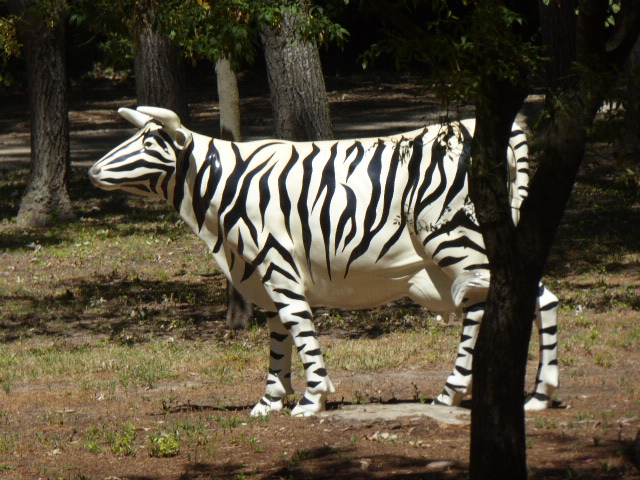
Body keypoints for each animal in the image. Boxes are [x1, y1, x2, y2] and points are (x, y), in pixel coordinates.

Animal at [89, 106, 560, 417]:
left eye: (148, 143)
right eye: (134, 138)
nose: (91, 172)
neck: (226, 185)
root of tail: (484, 128)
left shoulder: (276, 261)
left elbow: (299, 328)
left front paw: (313, 399)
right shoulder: (267, 272)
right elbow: (279, 337)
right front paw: (269, 401)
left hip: (455, 238)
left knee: (511, 301)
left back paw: (482, 393)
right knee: (525, 300)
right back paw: (518, 395)